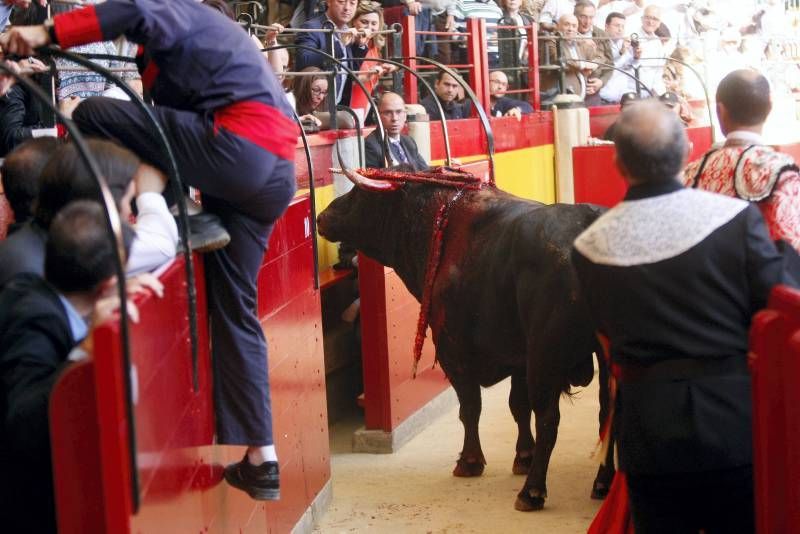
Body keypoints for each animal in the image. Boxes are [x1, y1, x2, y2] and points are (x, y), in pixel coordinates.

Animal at [318, 182, 612, 512]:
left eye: (359, 192)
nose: (322, 216)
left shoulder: (454, 352)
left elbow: (470, 407)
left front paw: (470, 462)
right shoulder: (518, 357)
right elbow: (517, 406)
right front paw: (523, 456)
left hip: (544, 357)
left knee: (549, 418)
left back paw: (531, 492)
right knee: (607, 414)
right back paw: (601, 483)